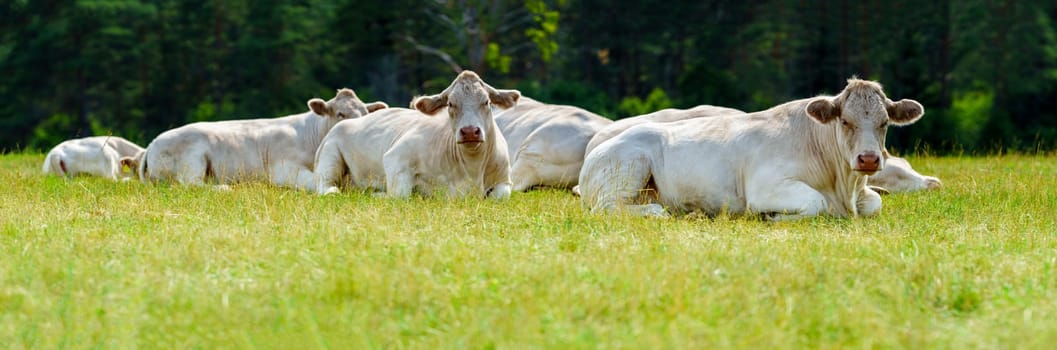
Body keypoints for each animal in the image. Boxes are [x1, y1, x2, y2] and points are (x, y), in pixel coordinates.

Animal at [138, 89, 386, 190]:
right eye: (340, 114)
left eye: (366, 113)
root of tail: (152, 144)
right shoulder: (285, 169)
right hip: (193, 160)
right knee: (188, 184)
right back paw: (224, 188)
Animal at [312, 69, 520, 198]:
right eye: (450, 104)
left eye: (486, 101)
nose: (470, 131)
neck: (471, 169)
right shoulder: (396, 157)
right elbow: (400, 195)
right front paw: (378, 193)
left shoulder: (504, 180)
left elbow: (499, 196)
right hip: (330, 157)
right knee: (327, 186)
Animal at [579, 78, 925, 219]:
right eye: (845, 121)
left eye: (884, 123)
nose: (868, 159)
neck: (842, 188)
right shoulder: (766, 187)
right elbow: (815, 203)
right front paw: (771, 217)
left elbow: (876, 202)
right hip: (630, 165)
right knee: (608, 207)